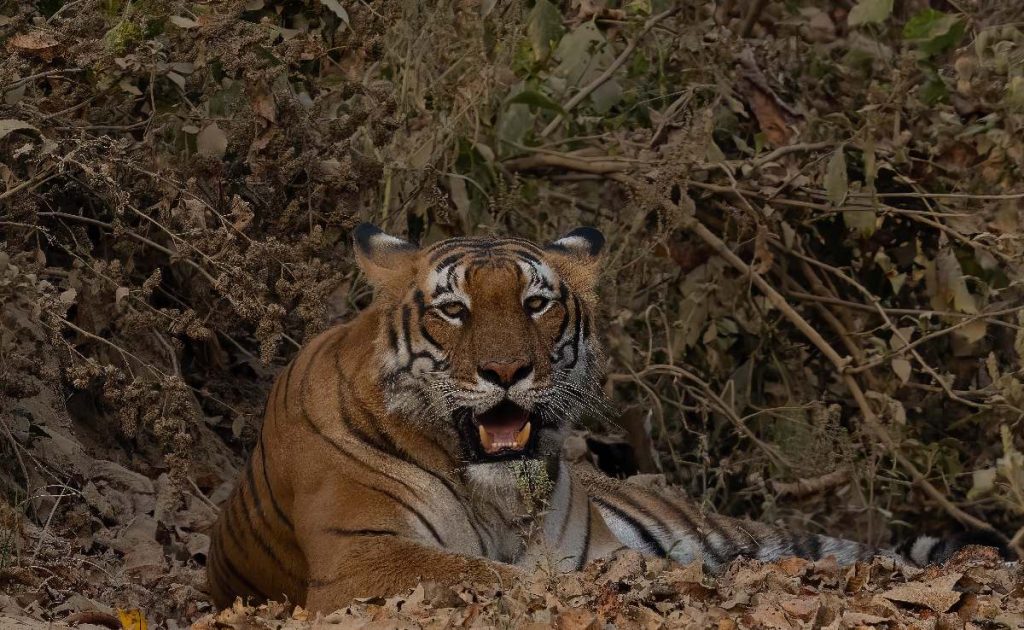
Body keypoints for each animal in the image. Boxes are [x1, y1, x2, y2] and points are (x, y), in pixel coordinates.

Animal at [206, 224, 998, 613]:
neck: (491, 494)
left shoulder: (590, 545)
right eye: (453, 309)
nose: (506, 373)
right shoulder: (361, 558)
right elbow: (491, 574)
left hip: (725, 531)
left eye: (535, 303)